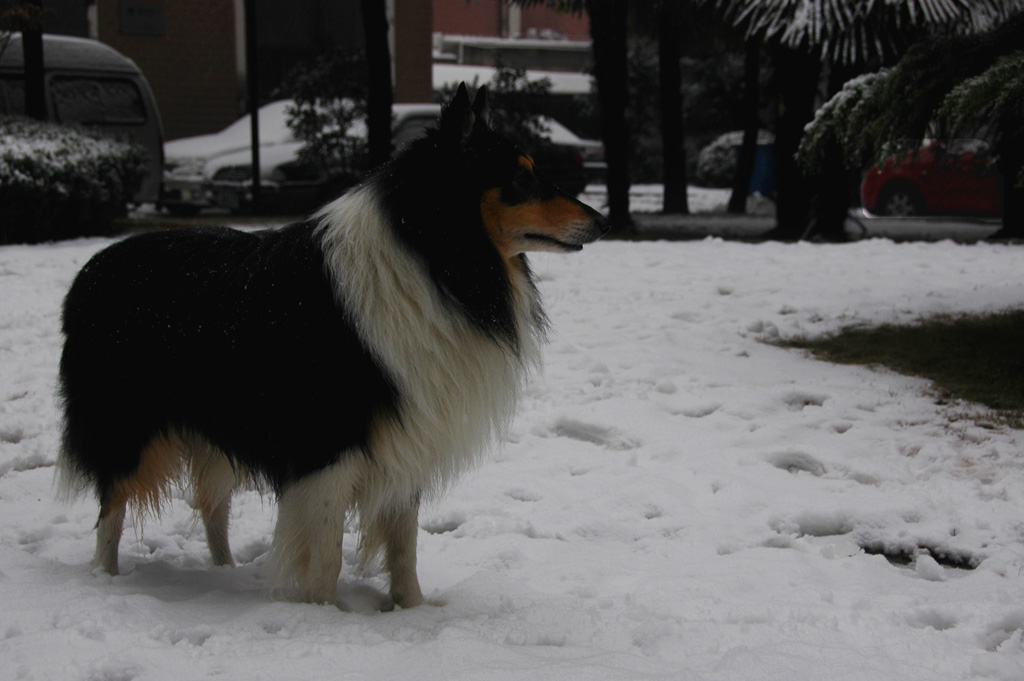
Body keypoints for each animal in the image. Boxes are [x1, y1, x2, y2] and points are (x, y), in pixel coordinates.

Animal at [56, 82, 606, 606]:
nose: (602, 222)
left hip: (213, 429)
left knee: (212, 506)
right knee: (111, 509)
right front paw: (323, 616)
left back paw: (225, 572)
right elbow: (325, 557)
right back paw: (105, 579)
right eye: (521, 178)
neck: (433, 257)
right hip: (125, 425)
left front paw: (412, 610)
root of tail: (89, 271)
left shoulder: (407, 432)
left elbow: (403, 543)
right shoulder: (328, 449)